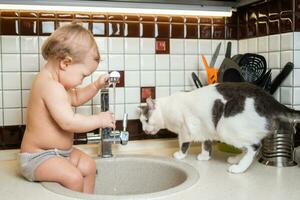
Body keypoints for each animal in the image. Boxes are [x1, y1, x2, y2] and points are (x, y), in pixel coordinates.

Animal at [139, 82, 298, 173]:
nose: (144, 130)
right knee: (248, 148)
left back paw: (239, 168)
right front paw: (204, 157)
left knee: (255, 147)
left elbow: (183, 144)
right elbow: (206, 144)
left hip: (225, 128)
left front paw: (180, 155)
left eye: (146, 120)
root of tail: (271, 101)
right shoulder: (205, 128)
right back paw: (236, 160)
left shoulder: (184, 129)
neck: (167, 109)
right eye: (141, 122)